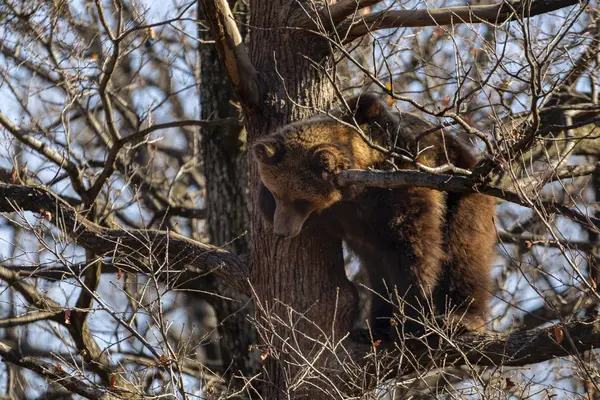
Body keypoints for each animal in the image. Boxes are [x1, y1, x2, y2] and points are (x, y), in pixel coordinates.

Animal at [253, 95, 496, 340]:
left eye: (301, 200)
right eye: (276, 194)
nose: (282, 231)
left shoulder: (402, 185)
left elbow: (415, 247)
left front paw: (414, 315)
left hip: (462, 193)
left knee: (464, 251)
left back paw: (461, 318)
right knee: (378, 276)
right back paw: (374, 329)